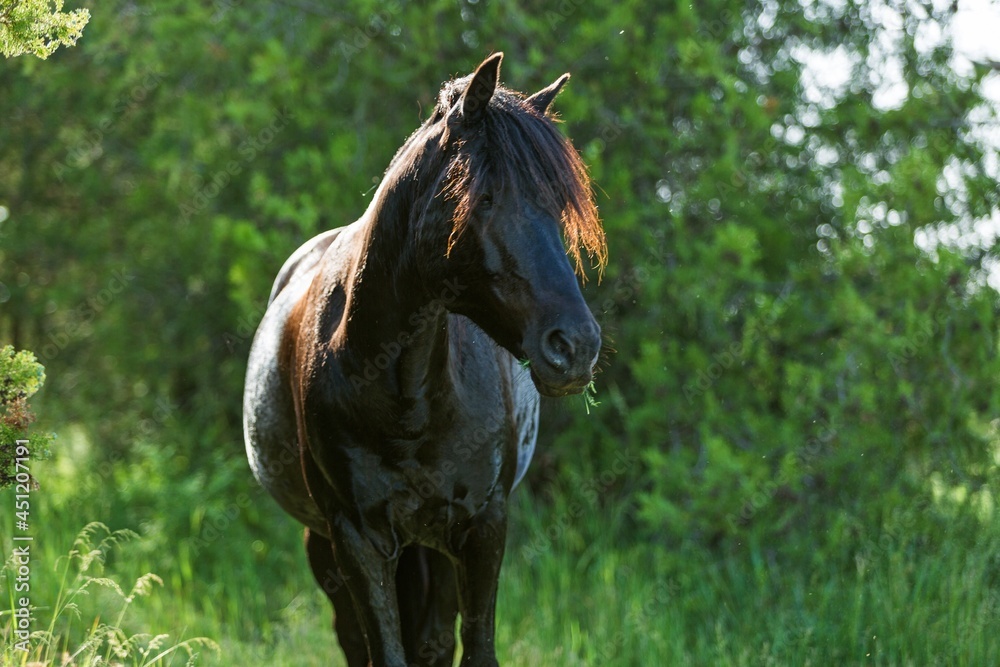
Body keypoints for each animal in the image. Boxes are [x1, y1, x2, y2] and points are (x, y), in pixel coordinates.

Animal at [245, 54, 604, 664]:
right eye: (485, 199)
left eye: (558, 207)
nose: (576, 346)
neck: (404, 397)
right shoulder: (356, 539)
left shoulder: (483, 527)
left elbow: (474, 648)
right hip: (330, 545)